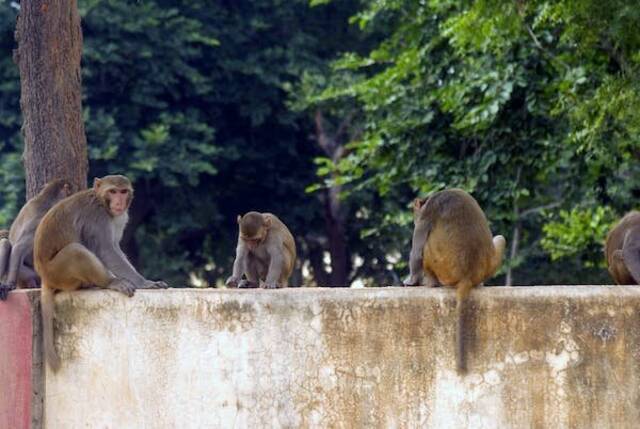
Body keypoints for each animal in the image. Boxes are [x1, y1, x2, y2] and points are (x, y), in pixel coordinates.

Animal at [35, 175, 168, 372]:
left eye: (123, 191)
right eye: (113, 191)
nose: (119, 202)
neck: (102, 202)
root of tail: (44, 276)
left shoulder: (120, 217)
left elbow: (115, 248)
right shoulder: (96, 216)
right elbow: (106, 249)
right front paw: (144, 283)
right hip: (57, 273)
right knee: (76, 251)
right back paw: (109, 282)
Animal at [402, 187, 508, 372]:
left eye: (415, 214)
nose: (413, 221)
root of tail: (467, 276)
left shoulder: (427, 214)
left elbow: (417, 252)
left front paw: (411, 281)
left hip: (442, 267)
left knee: (425, 247)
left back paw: (432, 283)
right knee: (500, 238)